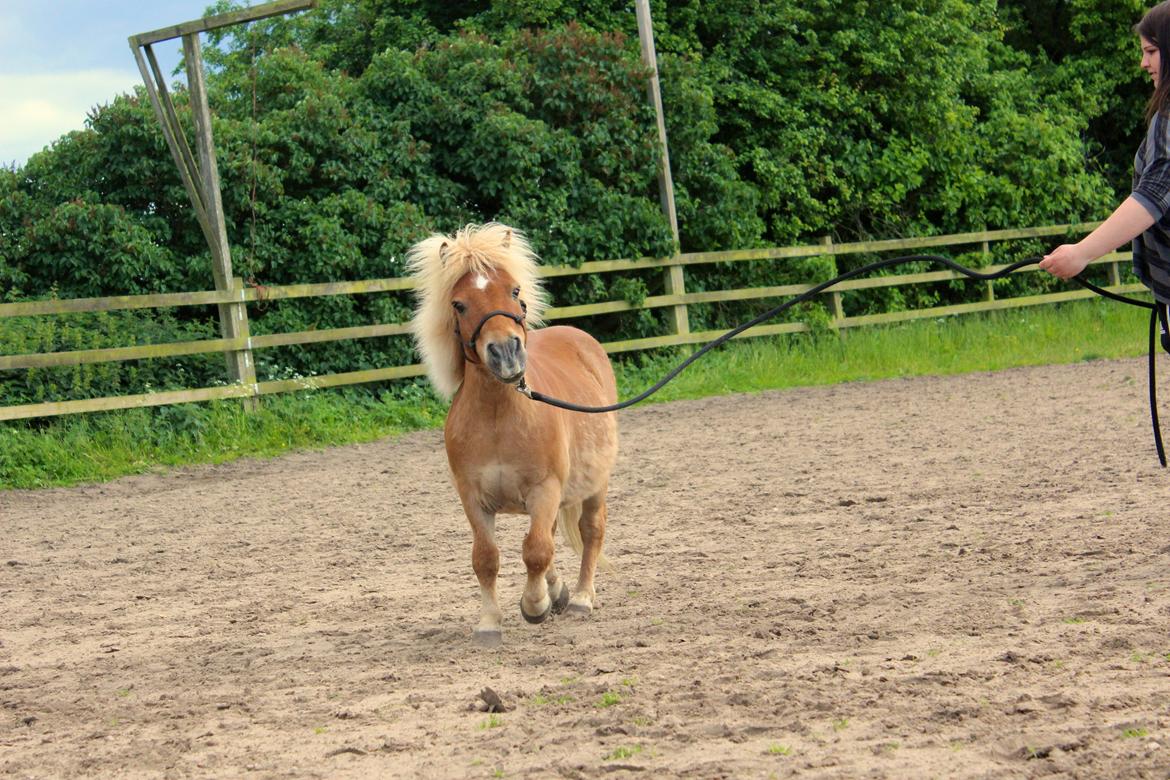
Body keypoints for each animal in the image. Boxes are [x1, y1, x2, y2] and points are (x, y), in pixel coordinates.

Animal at [407, 222, 617, 645]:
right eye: (459, 304)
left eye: (515, 291)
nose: (505, 352)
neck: (498, 418)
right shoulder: (473, 498)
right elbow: (486, 558)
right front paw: (490, 623)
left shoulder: (545, 489)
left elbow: (535, 550)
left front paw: (534, 607)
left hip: (594, 485)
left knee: (590, 531)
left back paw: (581, 598)